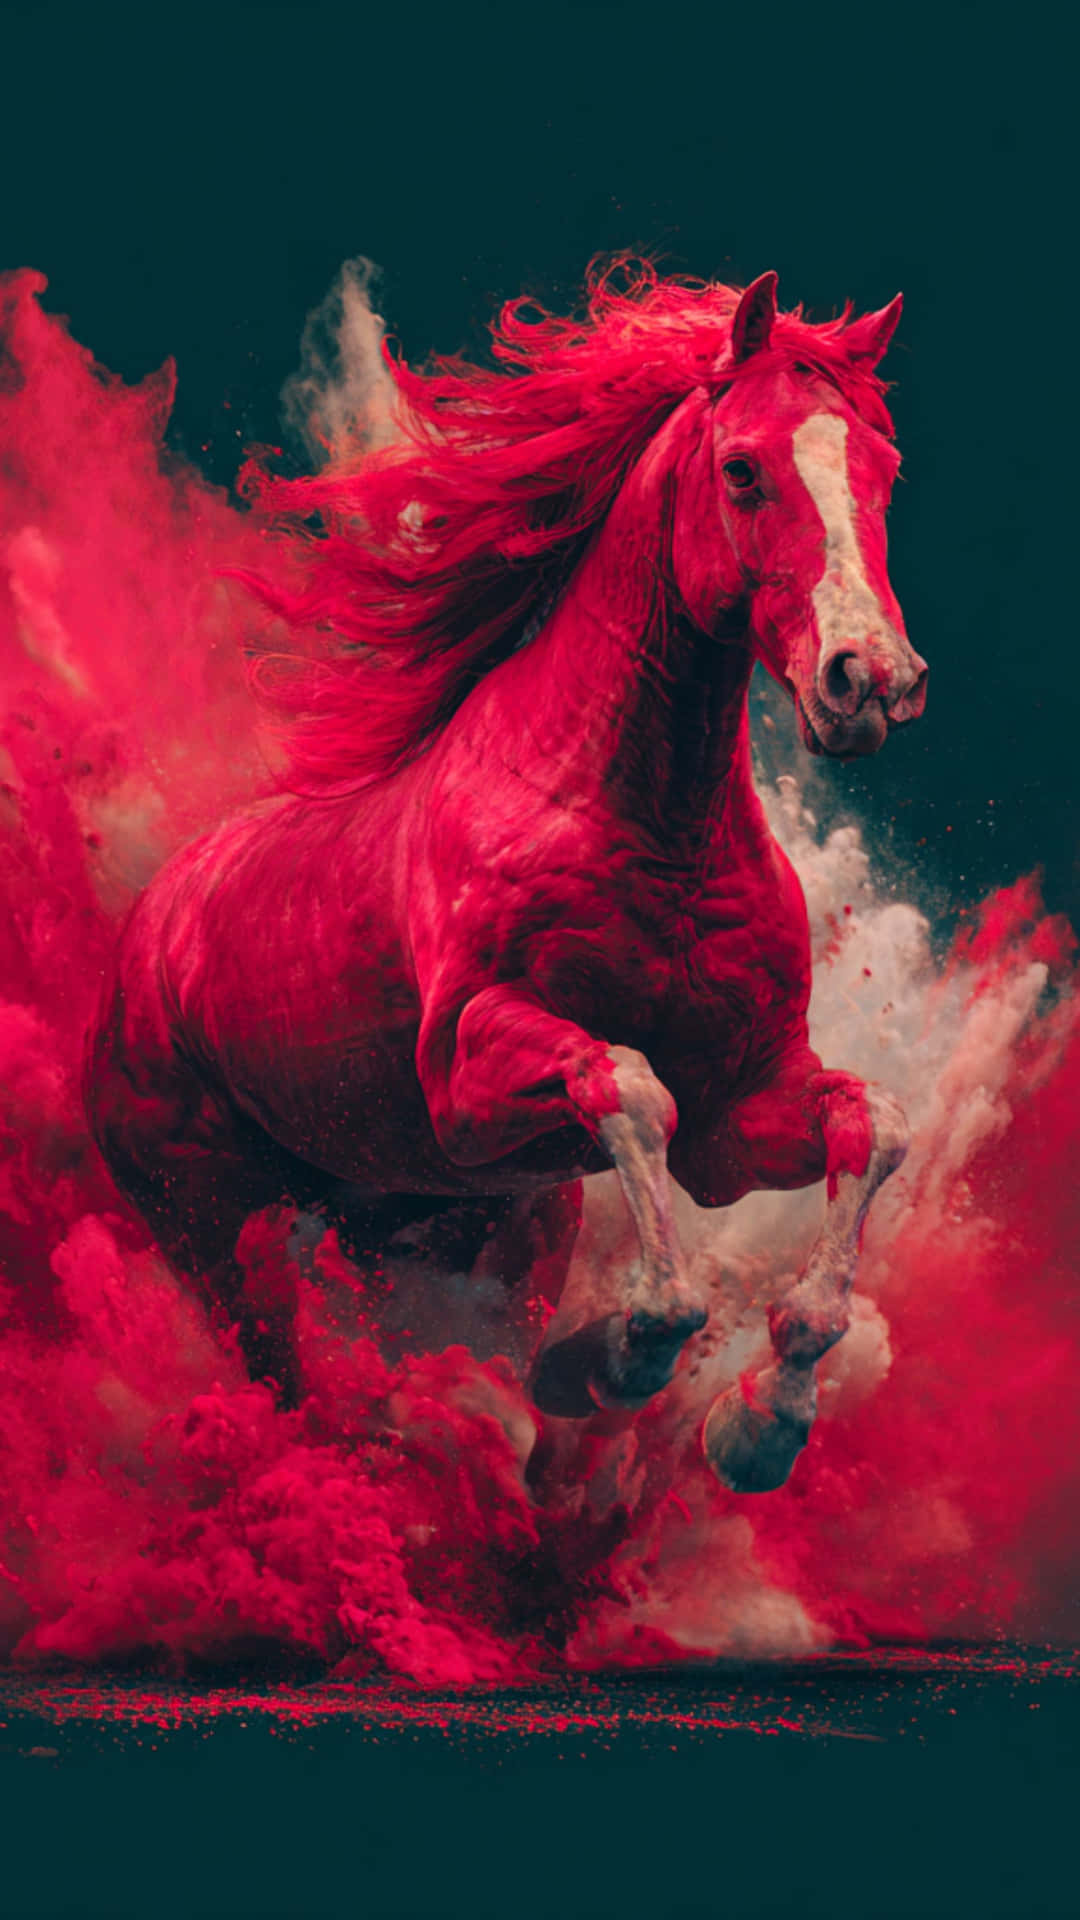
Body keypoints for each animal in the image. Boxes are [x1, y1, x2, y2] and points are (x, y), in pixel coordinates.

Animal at [85, 264, 928, 1496]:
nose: (869, 681)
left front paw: (760, 1421)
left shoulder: (737, 1116)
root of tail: (151, 923)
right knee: (277, 1364)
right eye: (743, 469)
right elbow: (628, 1086)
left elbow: (877, 1125)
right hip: (210, 1228)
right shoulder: (464, 1083)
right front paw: (625, 1352)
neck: (643, 828)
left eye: (885, 469)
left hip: (473, 1224)